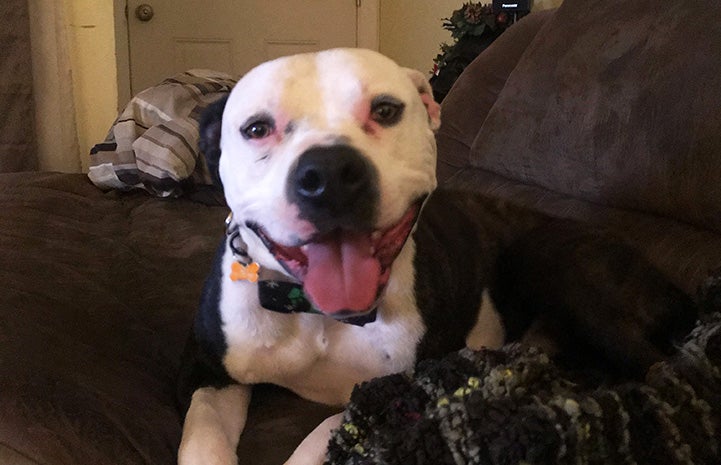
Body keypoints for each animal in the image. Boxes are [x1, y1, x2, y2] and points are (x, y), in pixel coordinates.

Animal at [176, 48, 696, 464]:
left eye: (386, 110)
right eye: (256, 128)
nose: (328, 173)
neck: (317, 315)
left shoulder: (398, 390)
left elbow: (321, 434)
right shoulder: (209, 378)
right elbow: (201, 442)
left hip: (553, 260)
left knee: (658, 368)